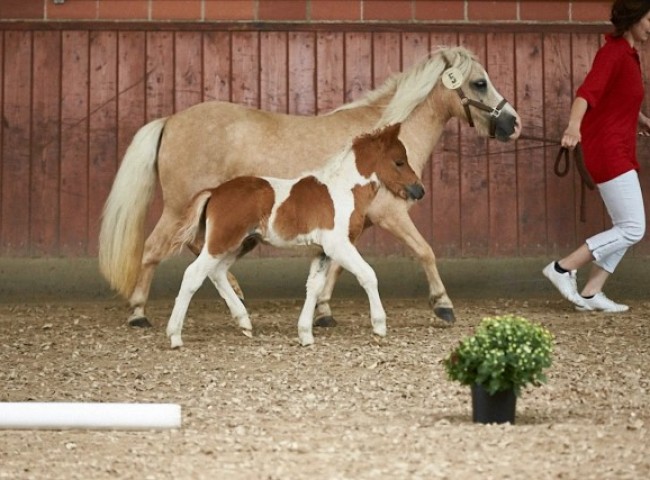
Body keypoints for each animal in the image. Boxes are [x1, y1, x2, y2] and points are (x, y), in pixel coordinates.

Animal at [165, 123, 424, 348]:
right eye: (399, 162)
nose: (419, 190)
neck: (342, 190)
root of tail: (215, 192)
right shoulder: (339, 245)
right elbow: (368, 275)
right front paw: (379, 328)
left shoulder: (322, 251)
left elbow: (314, 286)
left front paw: (305, 334)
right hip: (221, 241)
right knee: (193, 274)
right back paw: (175, 336)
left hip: (241, 244)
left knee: (217, 273)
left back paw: (244, 323)